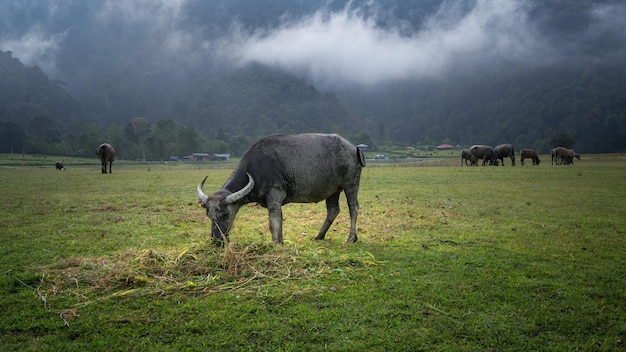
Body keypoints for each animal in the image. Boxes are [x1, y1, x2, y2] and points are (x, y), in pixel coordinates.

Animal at [193, 133, 364, 243]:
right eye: (209, 215)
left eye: (225, 215)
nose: (217, 240)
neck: (256, 167)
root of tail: (354, 148)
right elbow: (279, 221)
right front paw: (280, 241)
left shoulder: (274, 197)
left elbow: (273, 222)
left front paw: (275, 242)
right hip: (332, 190)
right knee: (333, 210)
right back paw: (318, 237)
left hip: (351, 184)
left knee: (353, 208)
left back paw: (351, 238)